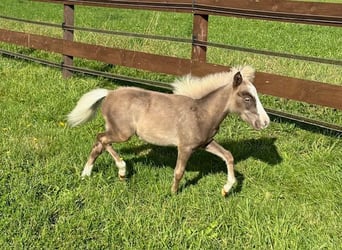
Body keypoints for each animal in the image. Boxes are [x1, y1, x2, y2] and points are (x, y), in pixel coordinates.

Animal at [67, 66, 270, 195]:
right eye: (247, 98)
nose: (265, 122)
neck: (201, 113)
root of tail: (109, 93)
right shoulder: (185, 147)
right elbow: (179, 171)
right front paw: (172, 194)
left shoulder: (205, 143)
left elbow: (228, 156)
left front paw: (226, 189)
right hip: (122, 133)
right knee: (101, 139)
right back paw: (122, 169)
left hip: (115, 131)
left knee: (99, 144)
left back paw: (87, 174)